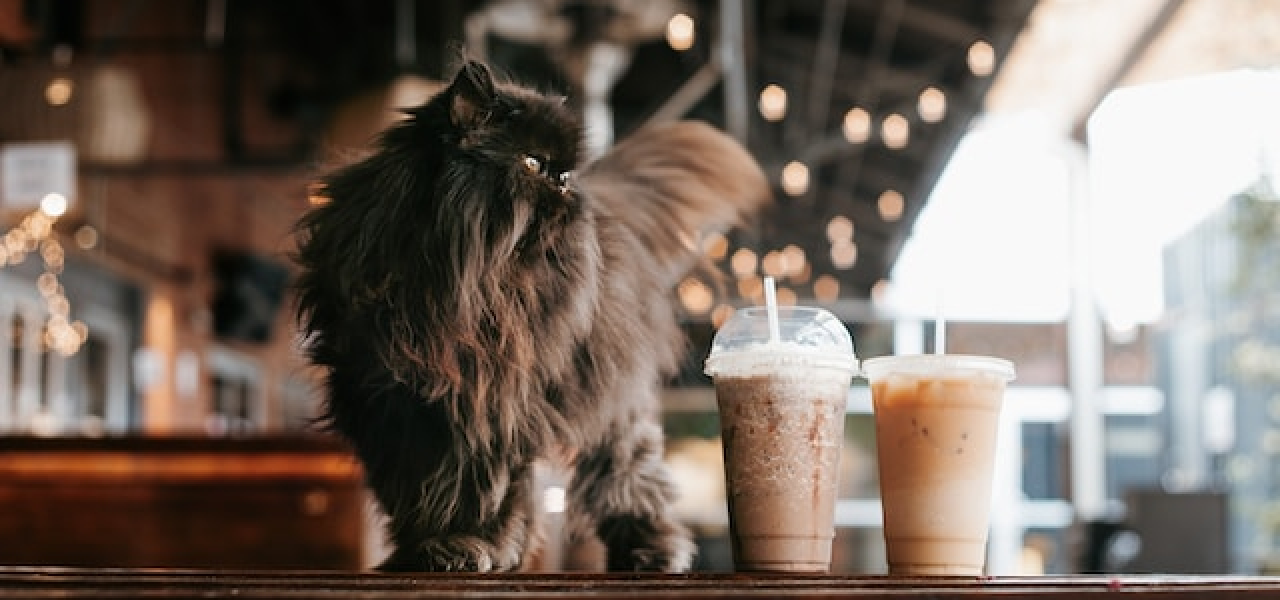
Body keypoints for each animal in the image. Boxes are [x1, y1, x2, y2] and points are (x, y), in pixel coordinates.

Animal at [293, 60, 768, 570]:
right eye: (533, 165)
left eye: (564, 175)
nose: (568, 190)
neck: (468, 291)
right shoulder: (395, 406)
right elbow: (419, 489)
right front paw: (433, 549)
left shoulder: (495, 407)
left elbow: (478, 489)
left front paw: (468, 545)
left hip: (614, 404)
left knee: (629, 476)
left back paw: (651, 551)